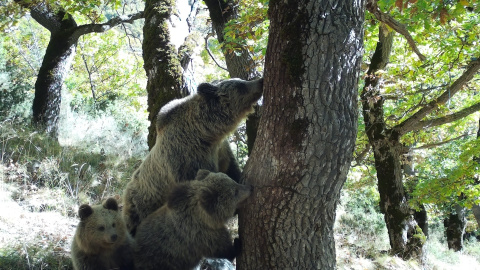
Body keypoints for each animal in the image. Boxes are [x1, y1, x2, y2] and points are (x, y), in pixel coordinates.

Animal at [123, 78, 262, 234]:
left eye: (241, 80)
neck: (206, 134)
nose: (260, 81)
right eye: (241, 85)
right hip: (141, 207)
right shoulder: (187, 160)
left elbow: (231, 168)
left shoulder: (221, 151)